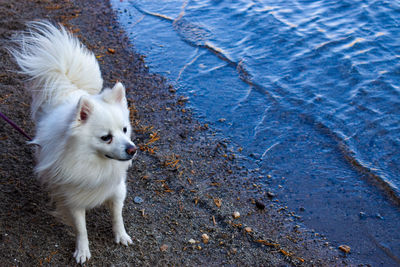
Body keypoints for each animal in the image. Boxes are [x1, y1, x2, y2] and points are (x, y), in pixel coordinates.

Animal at [11, 22, 137, 264]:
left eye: (125, 130)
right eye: (106, 137)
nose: (132, 149)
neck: (95, 164)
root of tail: (69, 88)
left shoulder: (117, 190)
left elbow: (117, 216)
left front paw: (121, 235)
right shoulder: (74, 201)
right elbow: (81, 229)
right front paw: (82, 250)